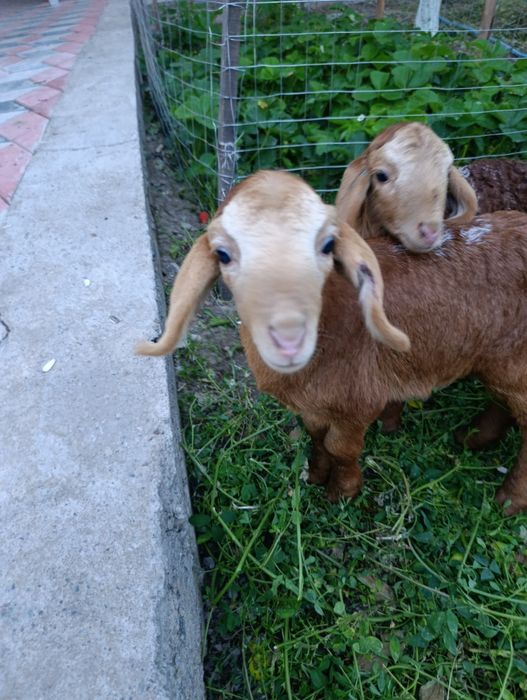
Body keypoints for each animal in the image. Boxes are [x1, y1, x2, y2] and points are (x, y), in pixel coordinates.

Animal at [137, 170, 527, 516]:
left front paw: (342, 493)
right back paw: (472, 439)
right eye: (222, 254)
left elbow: (341, 448)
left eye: (327, 245)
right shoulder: (315, 404)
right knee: (502, 403)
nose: (289, 339)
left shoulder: (359, 401)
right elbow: (316, 436)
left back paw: (508, 501)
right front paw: (314, 475)